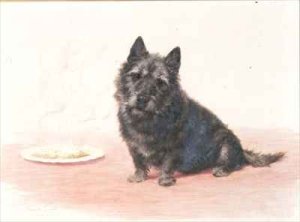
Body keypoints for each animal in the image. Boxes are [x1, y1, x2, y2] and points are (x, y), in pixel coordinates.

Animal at [114, 36, 284, 186]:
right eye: (136, 76)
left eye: (160, 82)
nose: (142, 99)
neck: (147, 118)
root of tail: (243, 151)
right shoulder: (133, 145)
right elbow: (138, 162)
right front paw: (139, 177)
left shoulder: (174, 146)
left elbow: (167, 163)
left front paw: (165, 180)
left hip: (226, 143)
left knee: (236, 164)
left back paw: (222, 169)